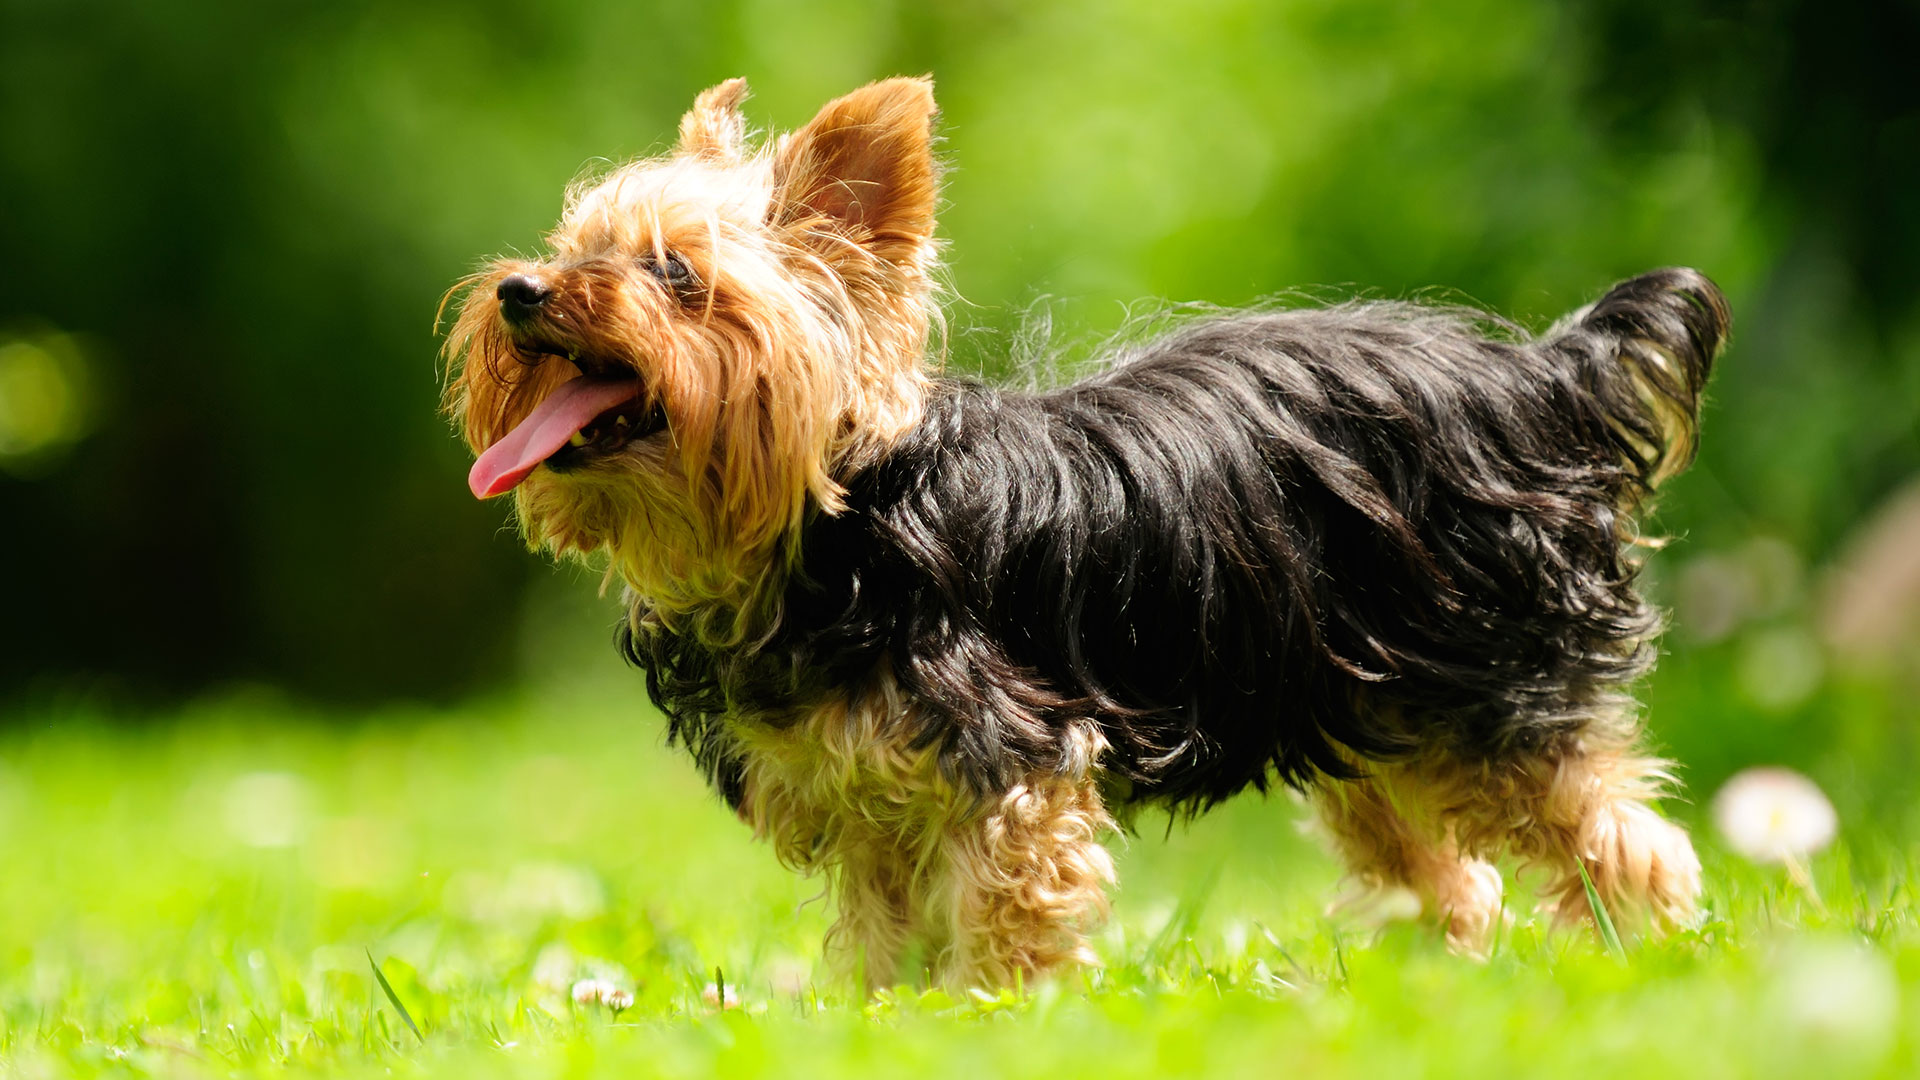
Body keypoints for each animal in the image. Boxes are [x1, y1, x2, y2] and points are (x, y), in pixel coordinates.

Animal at [445, 75, 1728, 983]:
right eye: (572, 250)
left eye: (674, 275)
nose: (521, 291)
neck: (828, 527)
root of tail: (1539, 375)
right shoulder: (869, 808)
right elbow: (883, 944)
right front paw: (882, 1020)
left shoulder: (1011, 766)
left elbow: (1006, 918)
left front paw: (991, 1017)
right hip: (1360, 707)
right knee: (1446, 878)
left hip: (1493, 687)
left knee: (1626, 840)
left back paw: (1648, 962)